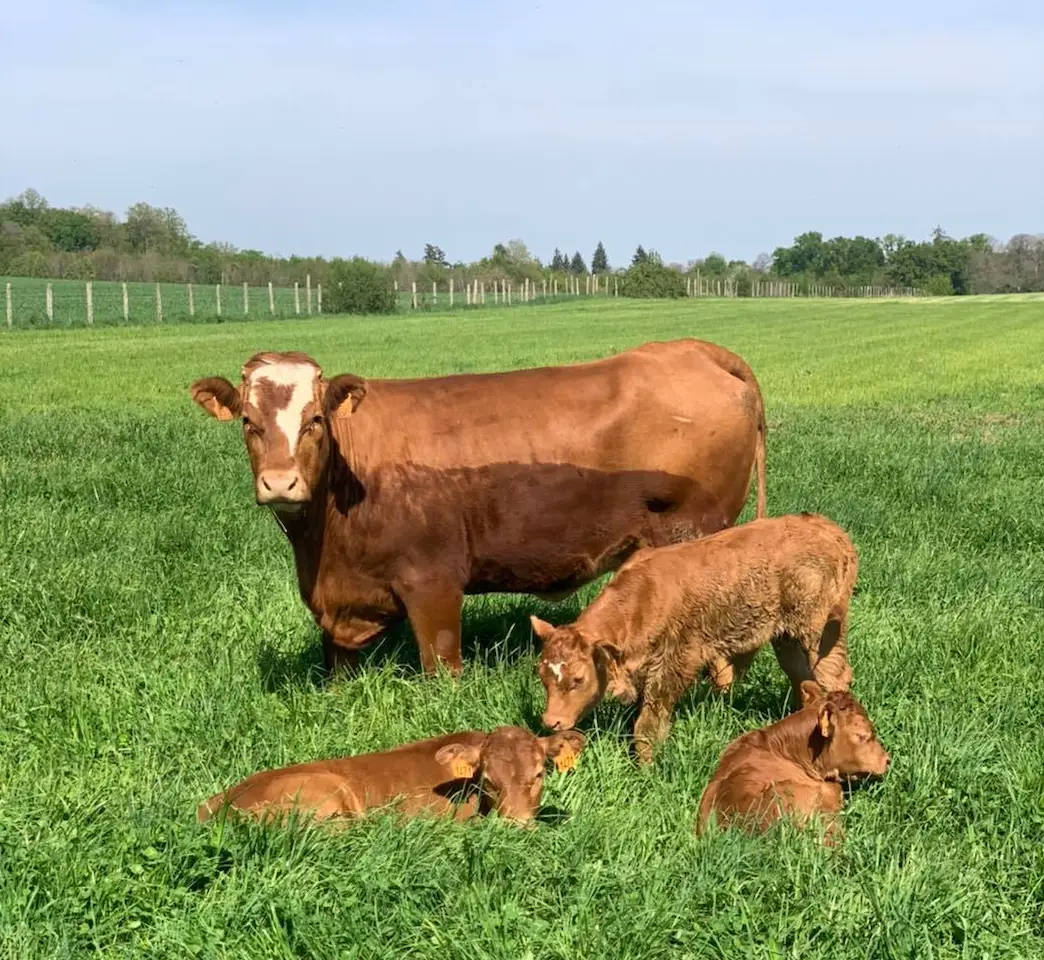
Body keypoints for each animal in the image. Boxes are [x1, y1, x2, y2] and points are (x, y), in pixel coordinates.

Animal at [190, 342, 768, 680]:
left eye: (314, 421)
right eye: (248, 422)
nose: (279, 482)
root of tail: (694, 351)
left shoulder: (434, 584)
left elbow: (441, 669)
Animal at [534, 513, 860, 759]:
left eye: (578, 679)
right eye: (542, 676)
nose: (551, 722)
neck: (647, 596)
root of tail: (828, 529)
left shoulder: (676, 660)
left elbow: (649, 721)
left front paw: (646, 768)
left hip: (820, 630)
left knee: (834, 676)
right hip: (787, 635)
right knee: (802, 677)